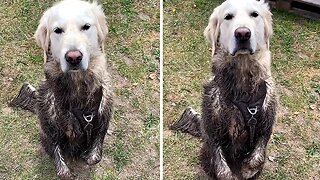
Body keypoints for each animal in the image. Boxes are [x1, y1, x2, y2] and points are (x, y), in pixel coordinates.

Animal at [10, 0, 113, 179]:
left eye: (86, 26)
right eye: (57, 30)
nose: (74, 57)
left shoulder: (103, 112)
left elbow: (95, 152)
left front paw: (89, 155)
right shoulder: (49, 122)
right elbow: (58, 155)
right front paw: (65, 170)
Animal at [171, 0, 276, 179]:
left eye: (255, 14)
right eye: (228, 17)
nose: (243, 33)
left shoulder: (266, 121)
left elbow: (258, 154)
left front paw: (248, 169)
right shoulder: (213, 128)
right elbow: (221, 166)